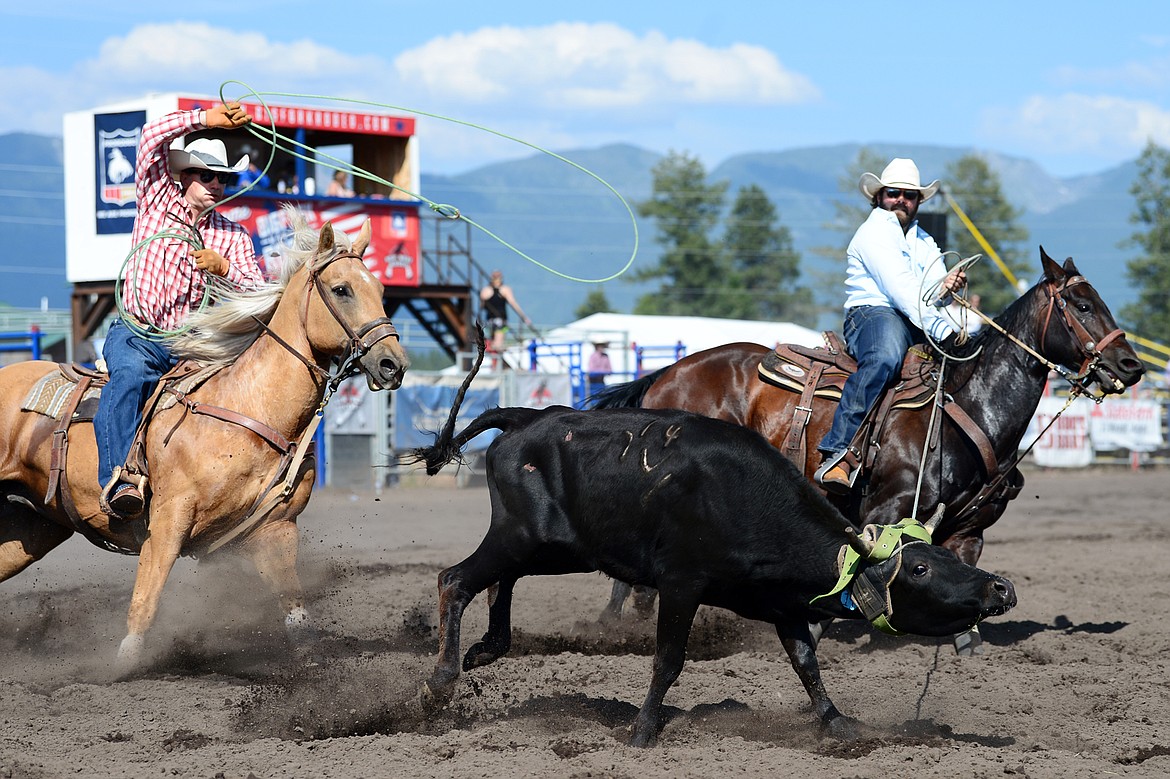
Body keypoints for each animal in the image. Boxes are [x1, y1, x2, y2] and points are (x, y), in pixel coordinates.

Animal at [0, 210, 411, 669]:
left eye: (380, 290)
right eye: (341, 289)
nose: (393, 364)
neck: (248, 406)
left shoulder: (276, 529)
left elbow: (294, 607)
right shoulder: (168, 519)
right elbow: (146, 600)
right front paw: (123, 662)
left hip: (31, 528)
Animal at [594, 246, 1141, 650]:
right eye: (1083, 306)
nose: (1131, 365)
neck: (963, 405)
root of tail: (666, 373)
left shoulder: (969, 530)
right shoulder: (884, 510)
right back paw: (616, 623)